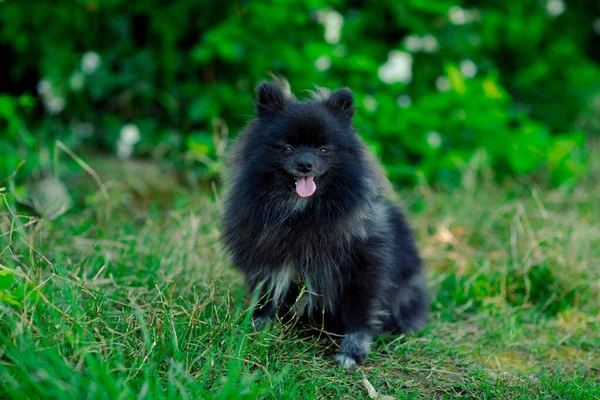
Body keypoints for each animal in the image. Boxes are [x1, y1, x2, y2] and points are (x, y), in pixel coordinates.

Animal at [221, 77, 426, 368]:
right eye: (287, 148)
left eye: (324, 149)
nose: (305, 164)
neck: (304, 213)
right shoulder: (266, 257)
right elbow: (266, 296)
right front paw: (257, 329)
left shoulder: (363, 267)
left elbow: (359, 312)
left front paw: (352, 351)